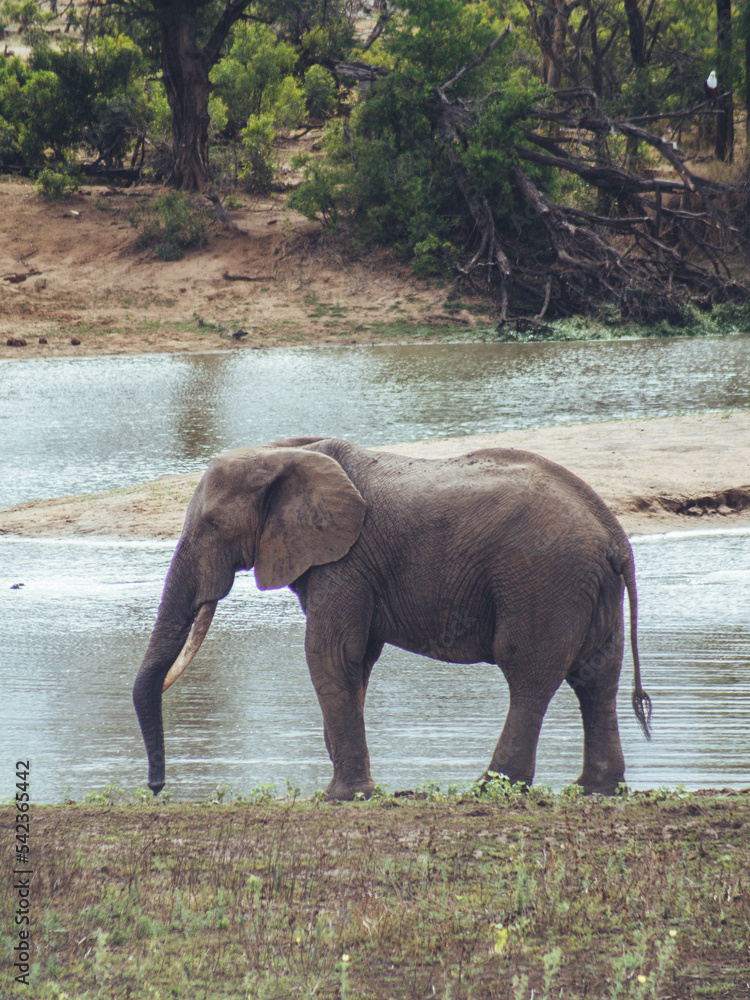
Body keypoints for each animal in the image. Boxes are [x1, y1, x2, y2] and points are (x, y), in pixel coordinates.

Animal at [133, 436, 651, 801]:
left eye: (214, 526)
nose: (156, 789)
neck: (283, 454)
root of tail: (614, 535)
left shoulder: (346, 561)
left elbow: (329, 654)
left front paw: (344, 797)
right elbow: (356, 660)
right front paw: (348, 784)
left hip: (543, 582)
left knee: (529, 675)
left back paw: (490, 788)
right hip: (588, 589)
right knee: (596, 678)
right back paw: (595, 790)